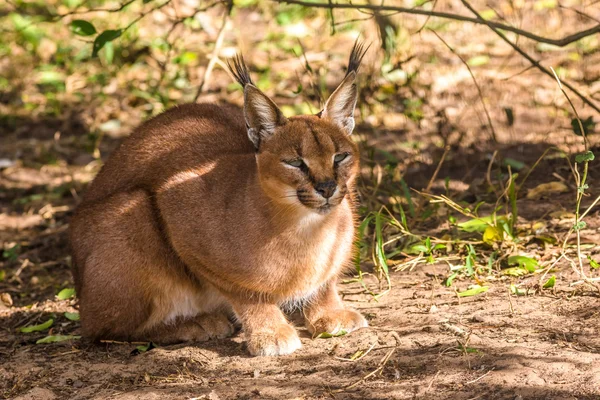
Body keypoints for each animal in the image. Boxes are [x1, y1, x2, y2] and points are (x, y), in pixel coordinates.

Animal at [71, 42, 370, 354]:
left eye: (340, 156)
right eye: (295, 163)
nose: (327, 187)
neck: (308, 227)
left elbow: (326, 280)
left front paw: (329, 313)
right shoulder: (176, 207)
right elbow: (243, 289)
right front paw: (270, 331)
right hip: (134, 211)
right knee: (102, 329)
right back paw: (194, 323)